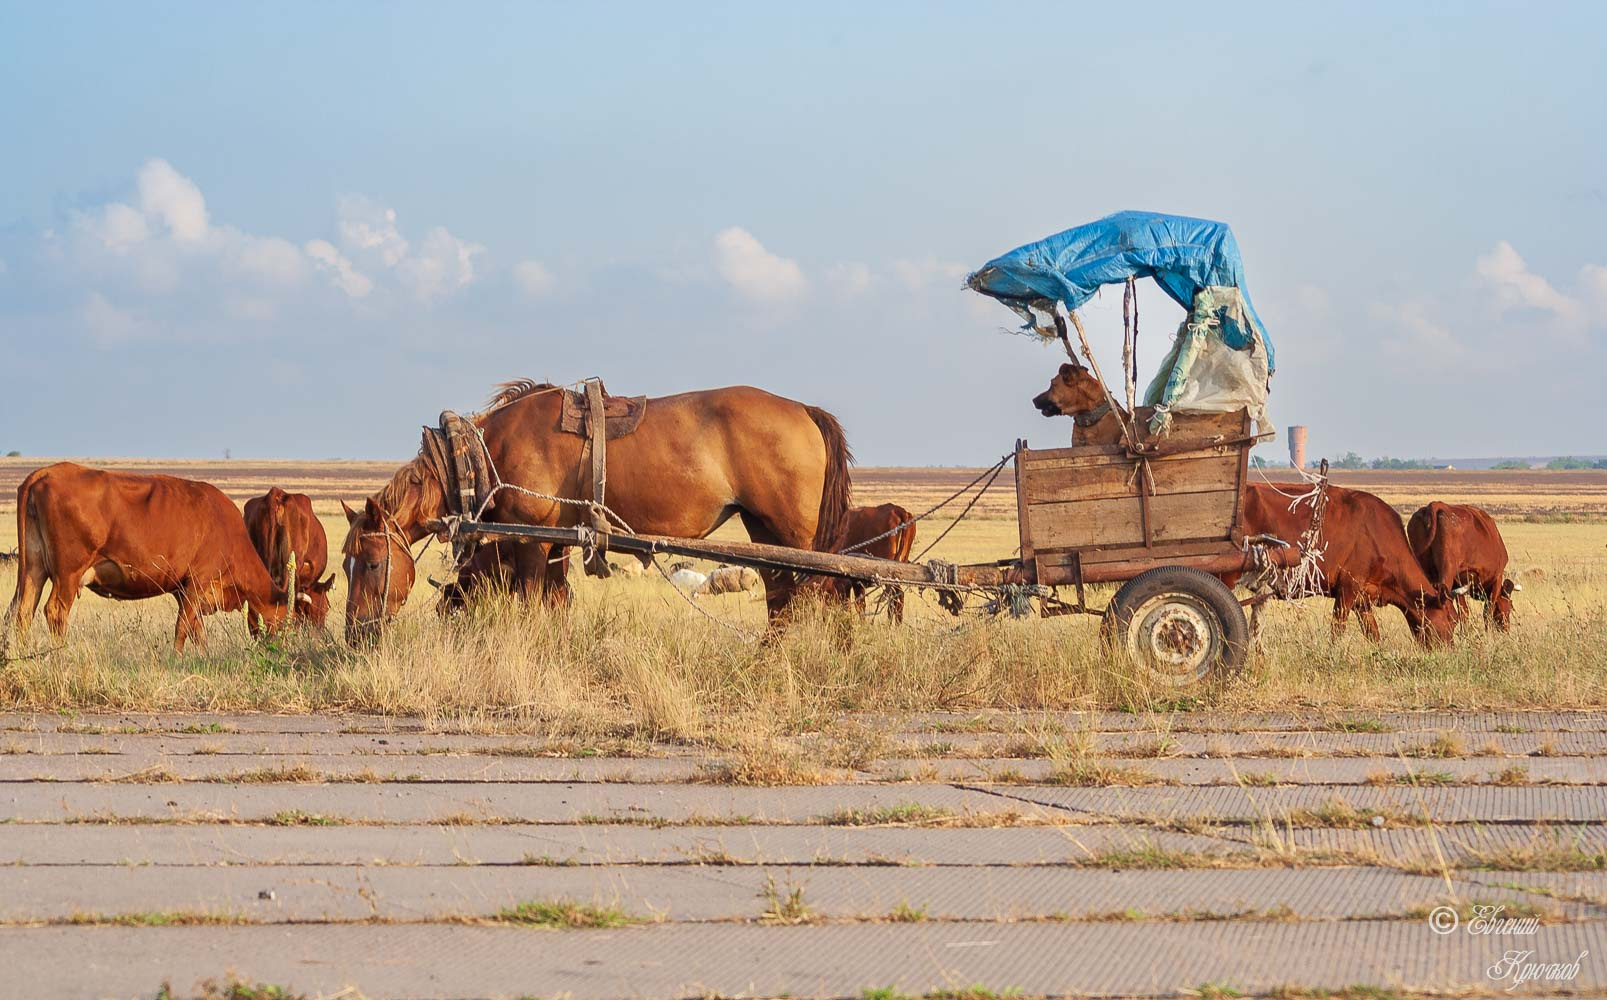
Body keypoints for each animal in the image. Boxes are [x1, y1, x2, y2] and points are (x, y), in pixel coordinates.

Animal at [1, 463, 290, 653]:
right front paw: (176, 658)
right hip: (67, 575)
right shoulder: (197, 584)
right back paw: (61, 655)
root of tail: (48, 471)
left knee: (22, 611)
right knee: (55, 611)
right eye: (284, 621)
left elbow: (196, 631)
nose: (281, 649)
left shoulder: (183, 590)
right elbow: (183, 628)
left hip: (33, 570)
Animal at [1227, 483, 1458, 646]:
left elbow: (1373, 634)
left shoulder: (1363, 599)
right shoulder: (1348, 588)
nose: (1450, 651)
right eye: (1451, 620)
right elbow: (1337, 630)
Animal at [1406, 501, 1516, 630]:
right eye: (1509, 607)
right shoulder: (1497, 578)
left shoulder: (1459, 584)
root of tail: (1437, 505)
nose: (1506, 629)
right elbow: (1487, 612)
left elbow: (1464, 612)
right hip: (1447, 572)